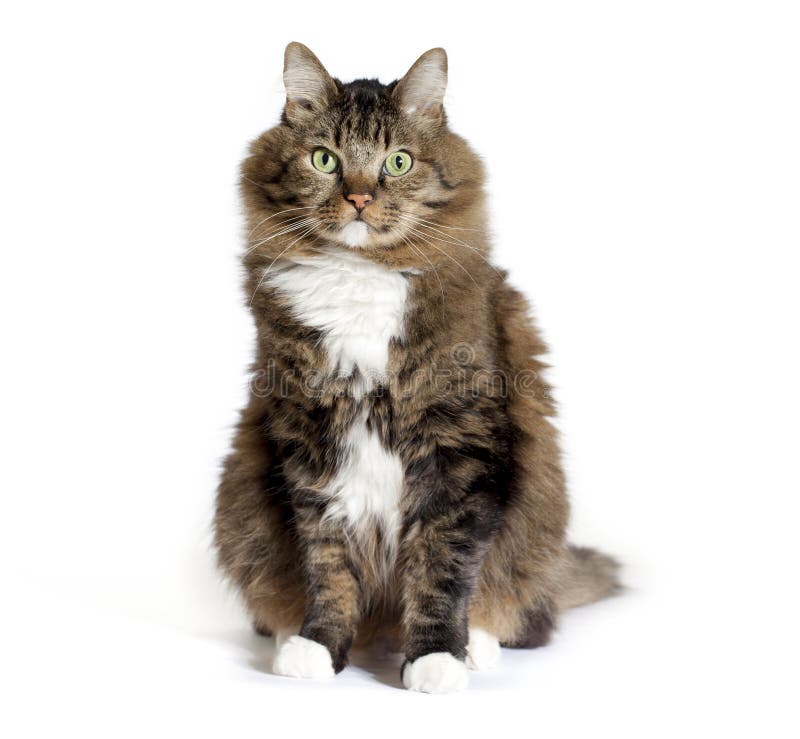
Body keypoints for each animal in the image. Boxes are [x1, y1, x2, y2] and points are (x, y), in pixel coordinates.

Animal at [214, 43, 620, 692]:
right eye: (325, 160)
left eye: (398, 162)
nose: (358, 198)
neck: (359, 278)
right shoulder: (308, 440)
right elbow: (327, 562)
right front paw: (319, 645)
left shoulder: (461, 447)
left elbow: (442, 565)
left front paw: (435, 657)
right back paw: (287, 634)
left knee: (524, 614)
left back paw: (478, 645)